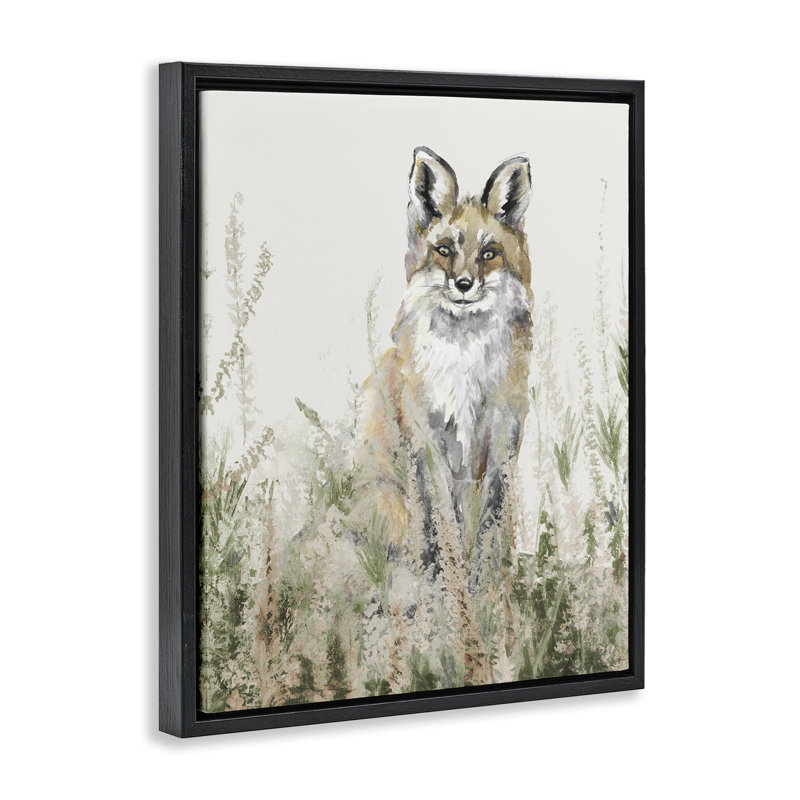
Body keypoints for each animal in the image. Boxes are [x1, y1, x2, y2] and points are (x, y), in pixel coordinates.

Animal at [351, 146, 533, 588]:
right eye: (445, 250)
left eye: (489, 253)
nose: (464, 285)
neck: (464, 363)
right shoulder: (427, 436)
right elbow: (442, 516)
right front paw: (450, 577)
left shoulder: (502, 435)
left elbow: (490, 520)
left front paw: (484, 580)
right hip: (385, 497)